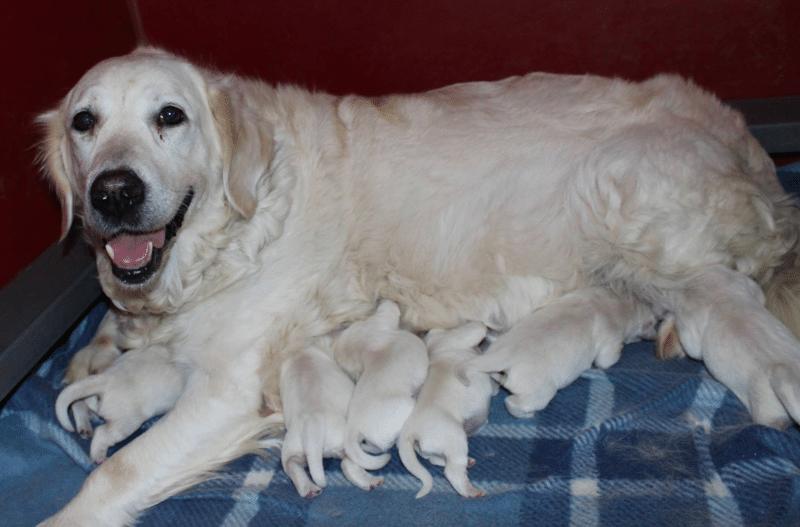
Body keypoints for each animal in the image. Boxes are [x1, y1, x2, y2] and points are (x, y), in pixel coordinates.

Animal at [278, 342, 384, 500]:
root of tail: (313, 423)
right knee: (349, 464)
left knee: (293, 467)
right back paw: (371, 481)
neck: (302, 356)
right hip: (347, 442)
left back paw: (309, 489)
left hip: (292, 449)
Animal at [400, 322, 494, 500]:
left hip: (435, 449)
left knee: (437, 460)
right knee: (452, 472)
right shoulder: (462, 335)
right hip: (455, 437)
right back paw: (472, 491)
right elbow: (479, 328)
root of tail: (410, 431)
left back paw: (467, 463)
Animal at [468, 286, 656, 418]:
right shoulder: (611, 342)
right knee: (513, 403)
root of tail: (501, 356)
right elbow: (607, 360)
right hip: (540, 392)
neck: (617, 303)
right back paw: (527, 414)